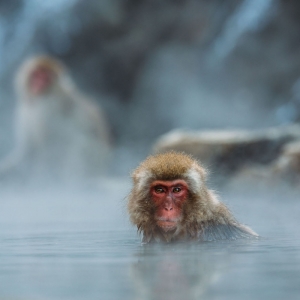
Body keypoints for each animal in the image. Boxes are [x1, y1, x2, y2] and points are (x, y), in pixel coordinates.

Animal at [0, 55, 111, 183]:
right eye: (36, 74)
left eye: (46, 78)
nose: (38, 85)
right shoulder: (24, 111)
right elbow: (28, 151)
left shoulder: (47, 111)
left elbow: (51, 146)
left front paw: (41, 177)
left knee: (78, 143)